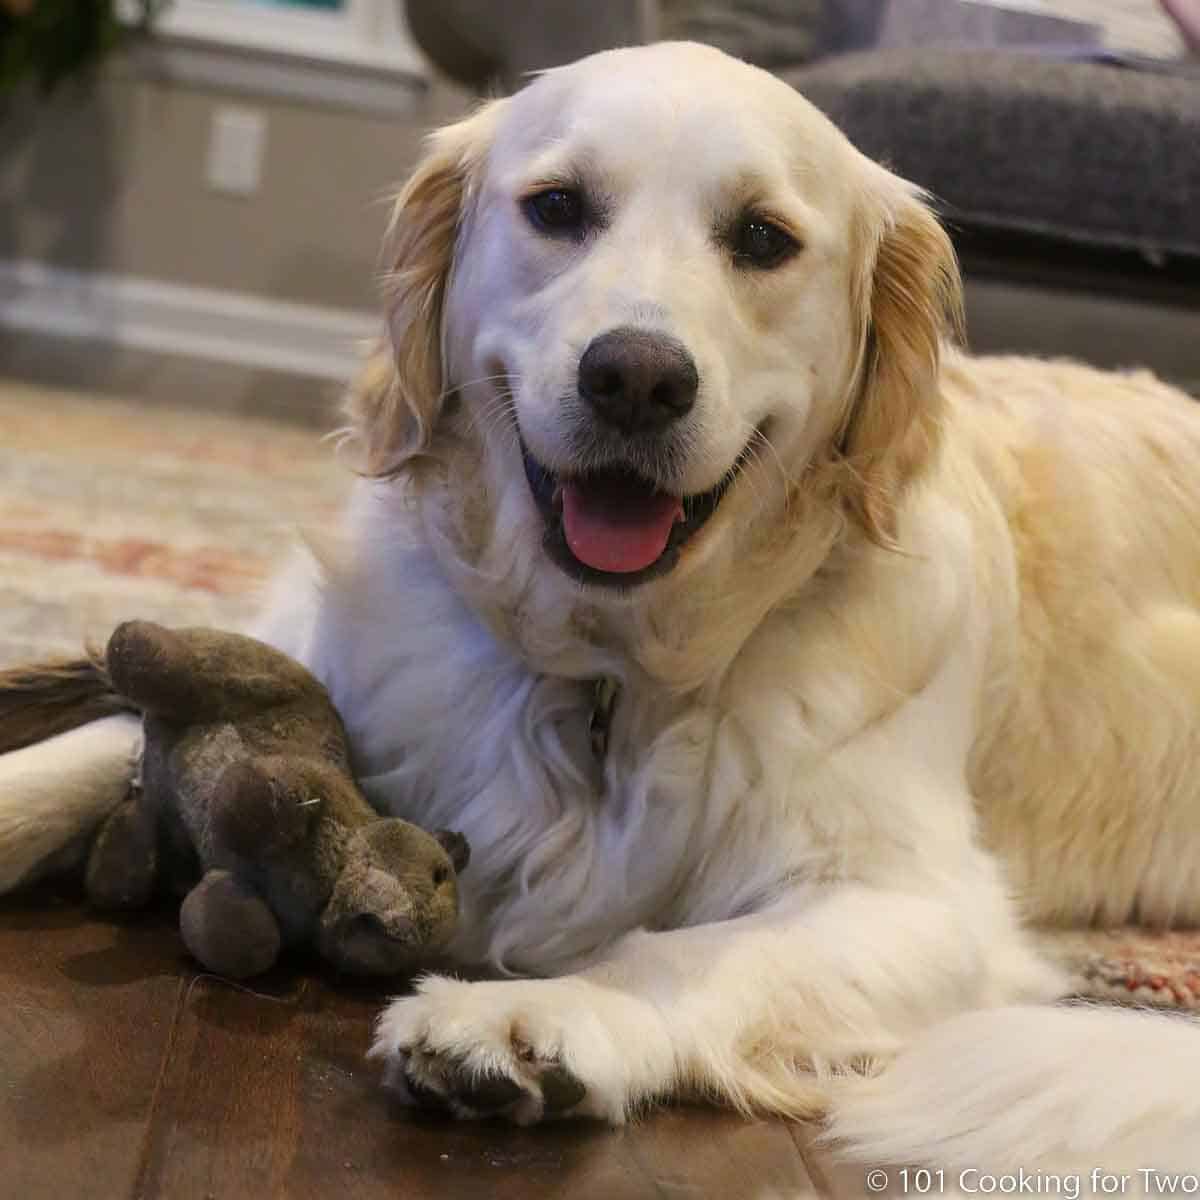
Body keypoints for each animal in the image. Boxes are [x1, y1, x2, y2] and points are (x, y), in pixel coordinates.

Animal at [2, 39, 1200, 1180]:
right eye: (557, 208)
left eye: (762, 238)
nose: (635, 378)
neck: (600, 669)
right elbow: (112, 733)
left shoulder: (920, 899)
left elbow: (687, 951)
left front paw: (538, 1017)